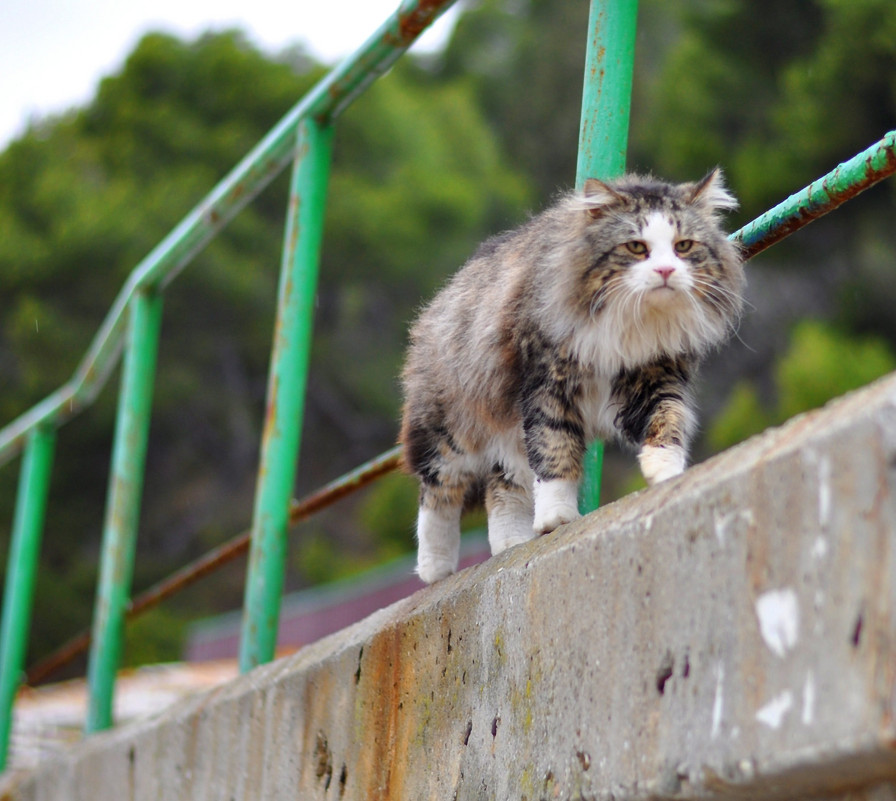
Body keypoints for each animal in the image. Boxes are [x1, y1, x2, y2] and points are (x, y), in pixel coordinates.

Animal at [400, 170, 744, 580]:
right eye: (636, 247)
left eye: (684, 245)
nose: (666, 271)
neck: (635, 326)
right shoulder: (548, 384)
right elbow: (555, 453)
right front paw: (557, 518)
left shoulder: (655, 379)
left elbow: (668, 421)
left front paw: (664, 470)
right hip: (453, 429)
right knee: (437, 492)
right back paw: (435, 568)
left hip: (507, 439)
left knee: (502, 489)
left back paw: (510, 545)